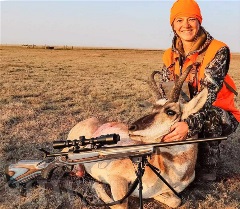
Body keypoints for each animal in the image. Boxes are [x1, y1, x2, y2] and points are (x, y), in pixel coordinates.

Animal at [67, 64, 208, 208]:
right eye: (152, 109)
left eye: (170, 111)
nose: (131, 127)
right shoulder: (116, 178)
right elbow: (121, 205)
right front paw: (97, 185)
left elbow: (176, 201)